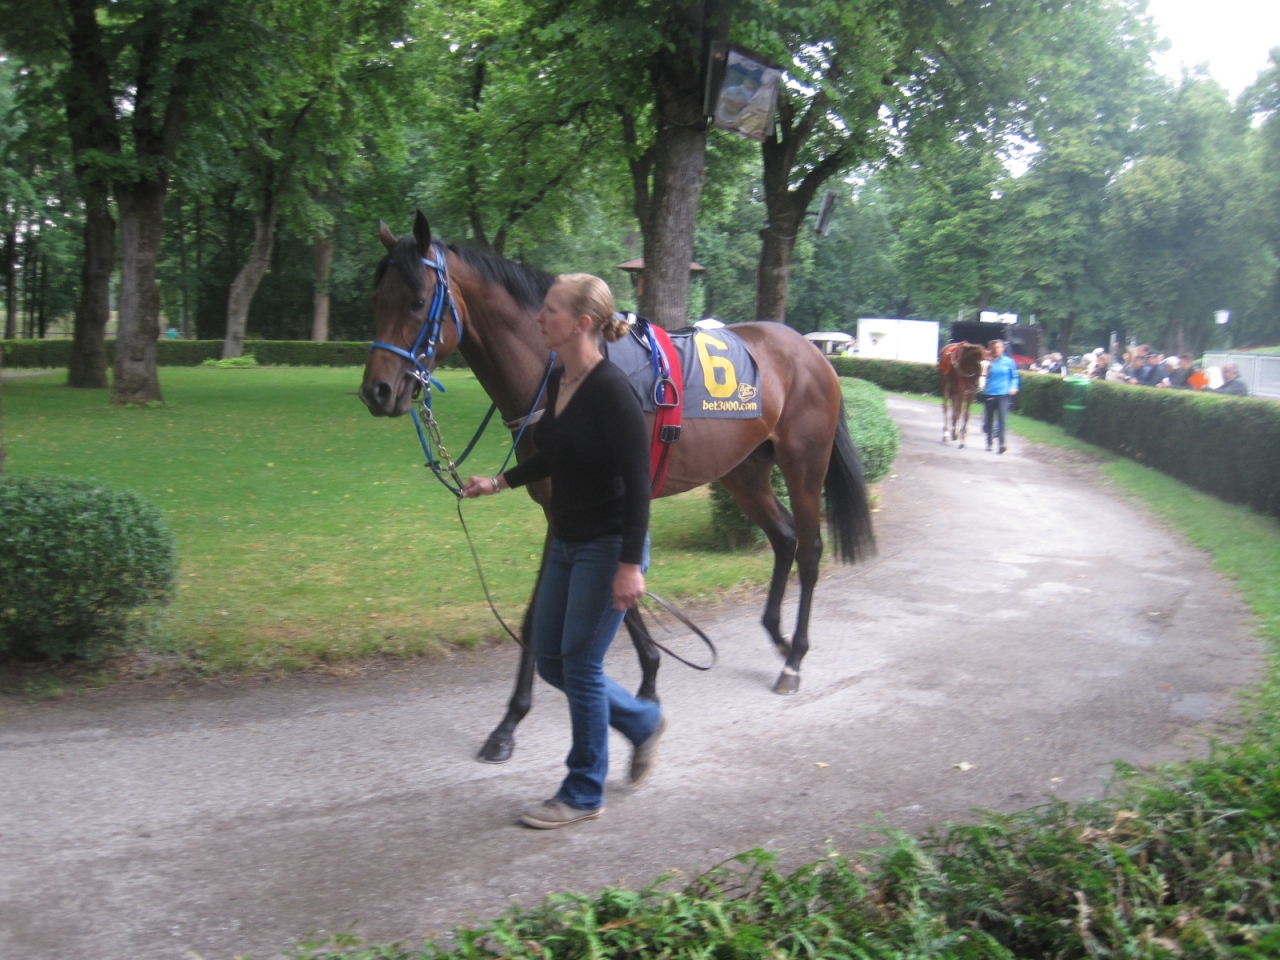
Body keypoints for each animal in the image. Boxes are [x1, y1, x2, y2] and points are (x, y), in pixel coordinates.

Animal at [360, 213, 875, 763]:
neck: (560, 374)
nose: (377, 391)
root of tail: (812, 353)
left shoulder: (596, 505)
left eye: (417, 301)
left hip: (804, 465)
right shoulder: (565, 508)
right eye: (377, 300)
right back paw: (776, 635)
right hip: (744, 472)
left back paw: (794, 657)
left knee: (811, 548)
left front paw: (513, 720)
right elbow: (569, 606)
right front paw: (641, 677)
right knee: (783, 538)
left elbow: (574, 603)